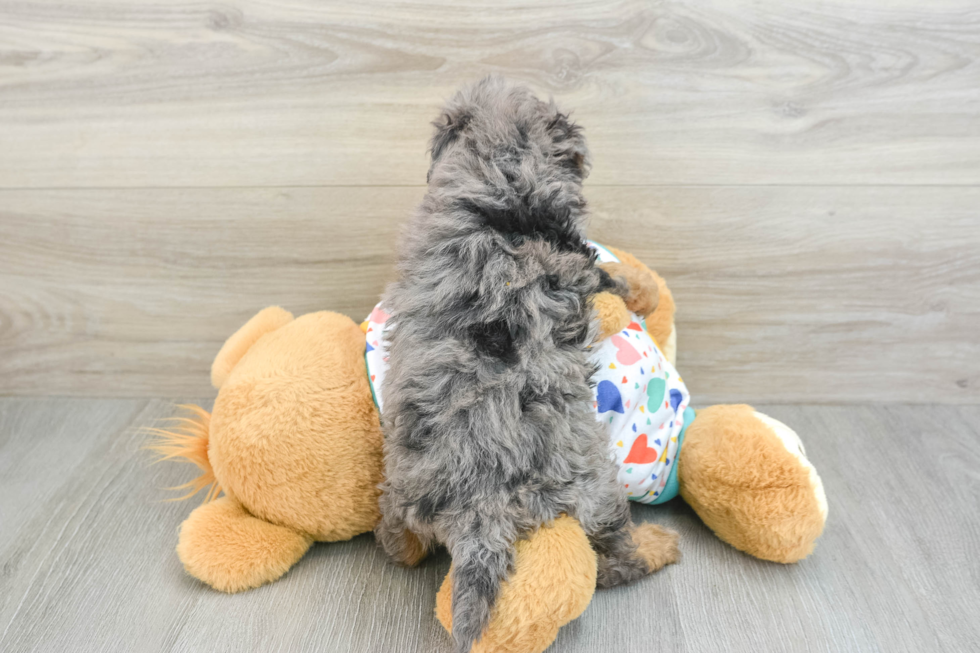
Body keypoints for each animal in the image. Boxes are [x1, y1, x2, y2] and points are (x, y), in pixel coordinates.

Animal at [374, 77, 672, 652]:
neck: (502, 169)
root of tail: (478, 508)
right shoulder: (581, 264)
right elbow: (616, 277)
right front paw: (645, 288)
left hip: (403, 485)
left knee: (400, 539)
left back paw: (398, 543)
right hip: (592, 482)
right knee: (613, 557)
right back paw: (657, 546)